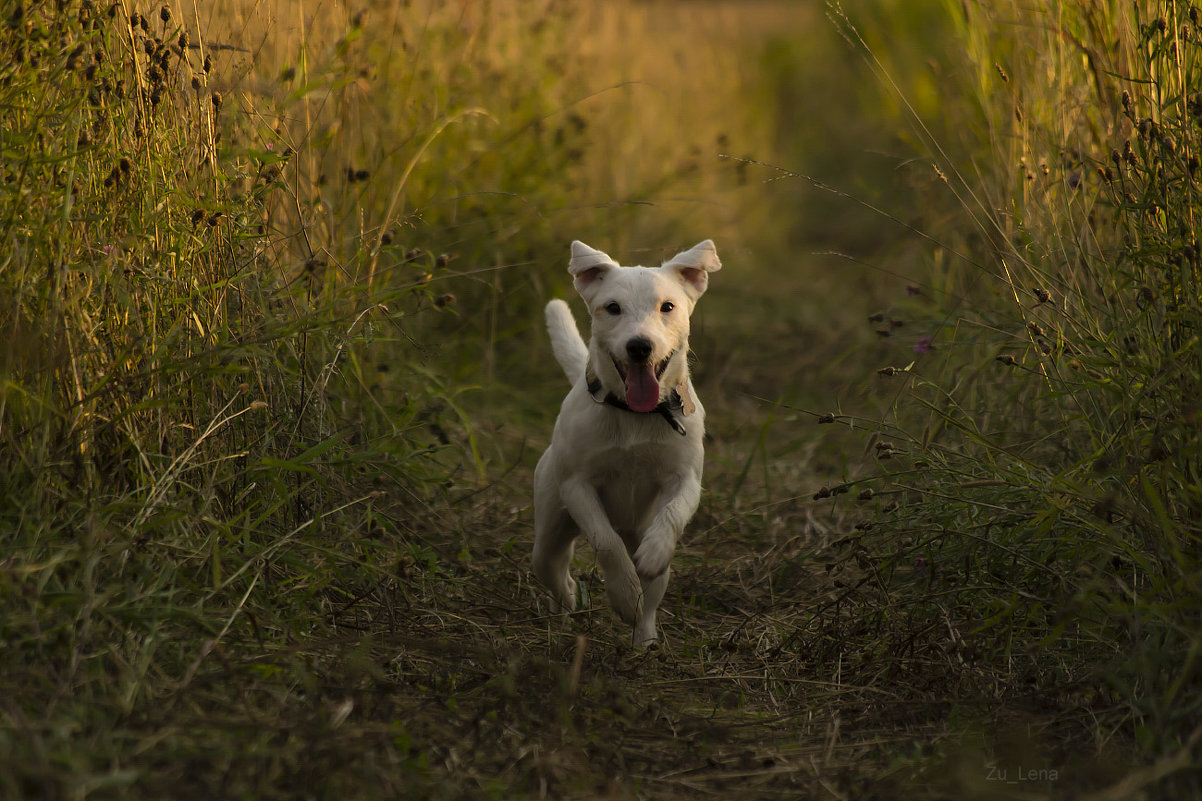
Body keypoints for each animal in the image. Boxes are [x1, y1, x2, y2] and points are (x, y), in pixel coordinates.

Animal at [531, 238, 716, 649]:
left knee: (652, 597)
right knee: (558, 574)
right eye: (612, 307)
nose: (639, 346)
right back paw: (563, 612)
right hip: (550, 531)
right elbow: (607, 542)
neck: (635, 415)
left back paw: (644, 640)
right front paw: (625, 594)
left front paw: (652, 557)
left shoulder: (685, 480)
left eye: (668, 306)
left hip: (644, 543)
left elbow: (673, 513)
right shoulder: (578, 486)